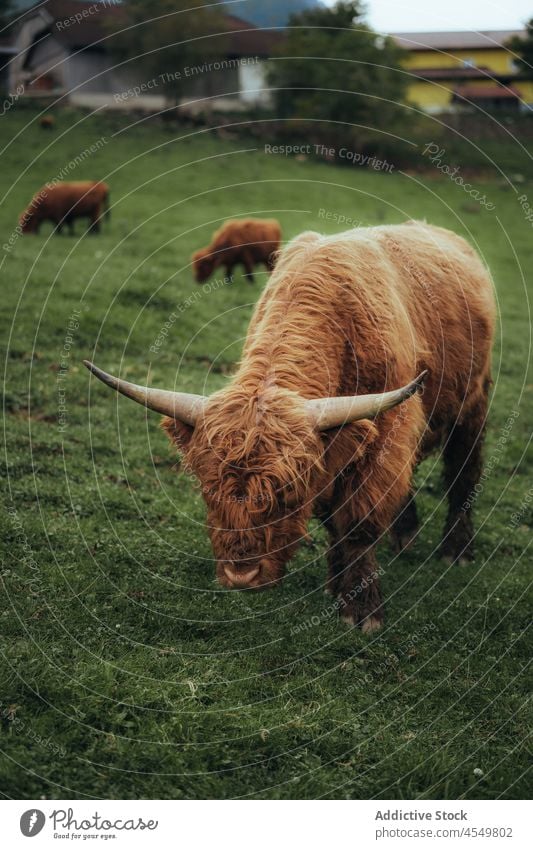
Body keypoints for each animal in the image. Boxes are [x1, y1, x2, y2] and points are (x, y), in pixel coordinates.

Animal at [84, 222, 494, 632]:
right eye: (207, 489)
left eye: (286, 493)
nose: (241, 576)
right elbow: (333, 520)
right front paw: (335, 583)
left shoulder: (386, 436)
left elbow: (357, 522)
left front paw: (361, 608)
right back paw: (406, 534)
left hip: (473, 404)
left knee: (463, 473)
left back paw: (457, 551)